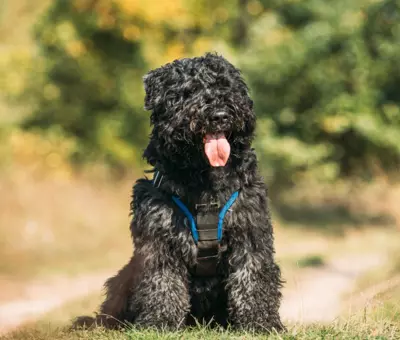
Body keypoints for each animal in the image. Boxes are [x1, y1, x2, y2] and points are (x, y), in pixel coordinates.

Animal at [74, 52, 284, 332]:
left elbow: (253, 277)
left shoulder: (249, 230)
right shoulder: (159, 237)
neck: (205, 179)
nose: (220, 115)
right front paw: (159, 322)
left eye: (226, 87)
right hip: (124, 277)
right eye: (190, 90)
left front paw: (261, 322)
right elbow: (163, 283)